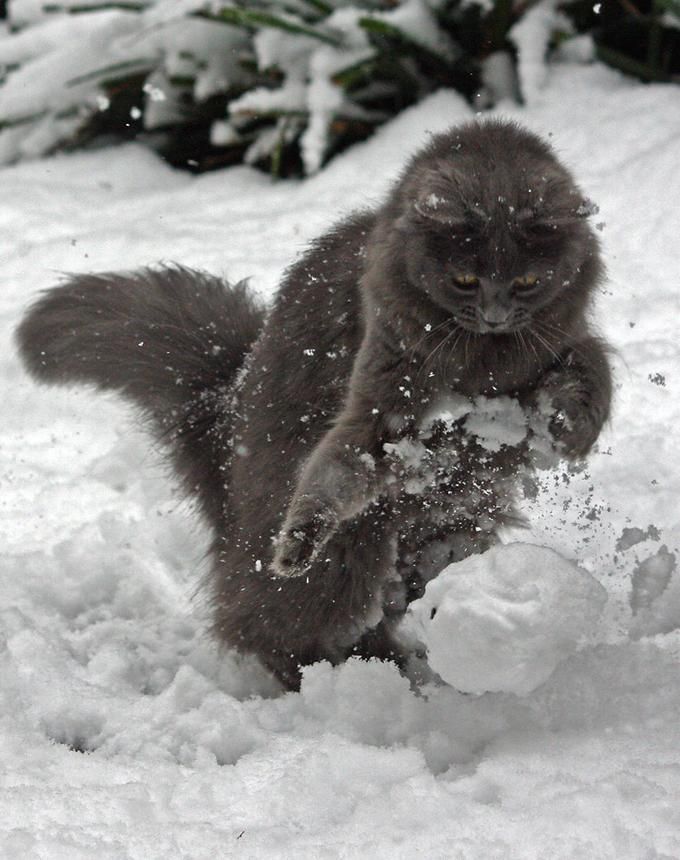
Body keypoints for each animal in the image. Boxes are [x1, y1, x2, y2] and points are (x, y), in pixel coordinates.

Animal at [15, 117, 612, 688]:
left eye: (528, 280)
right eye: (465, 279)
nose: (495, 315)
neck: (483, 360)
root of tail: (224, 402)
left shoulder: (565, 341)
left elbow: (594, 372)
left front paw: (572, 429)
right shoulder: (385, 380)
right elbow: (344, 463)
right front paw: (300, 540)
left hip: (459, 522)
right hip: (351, 548)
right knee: (274, 623)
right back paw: (375, 675)